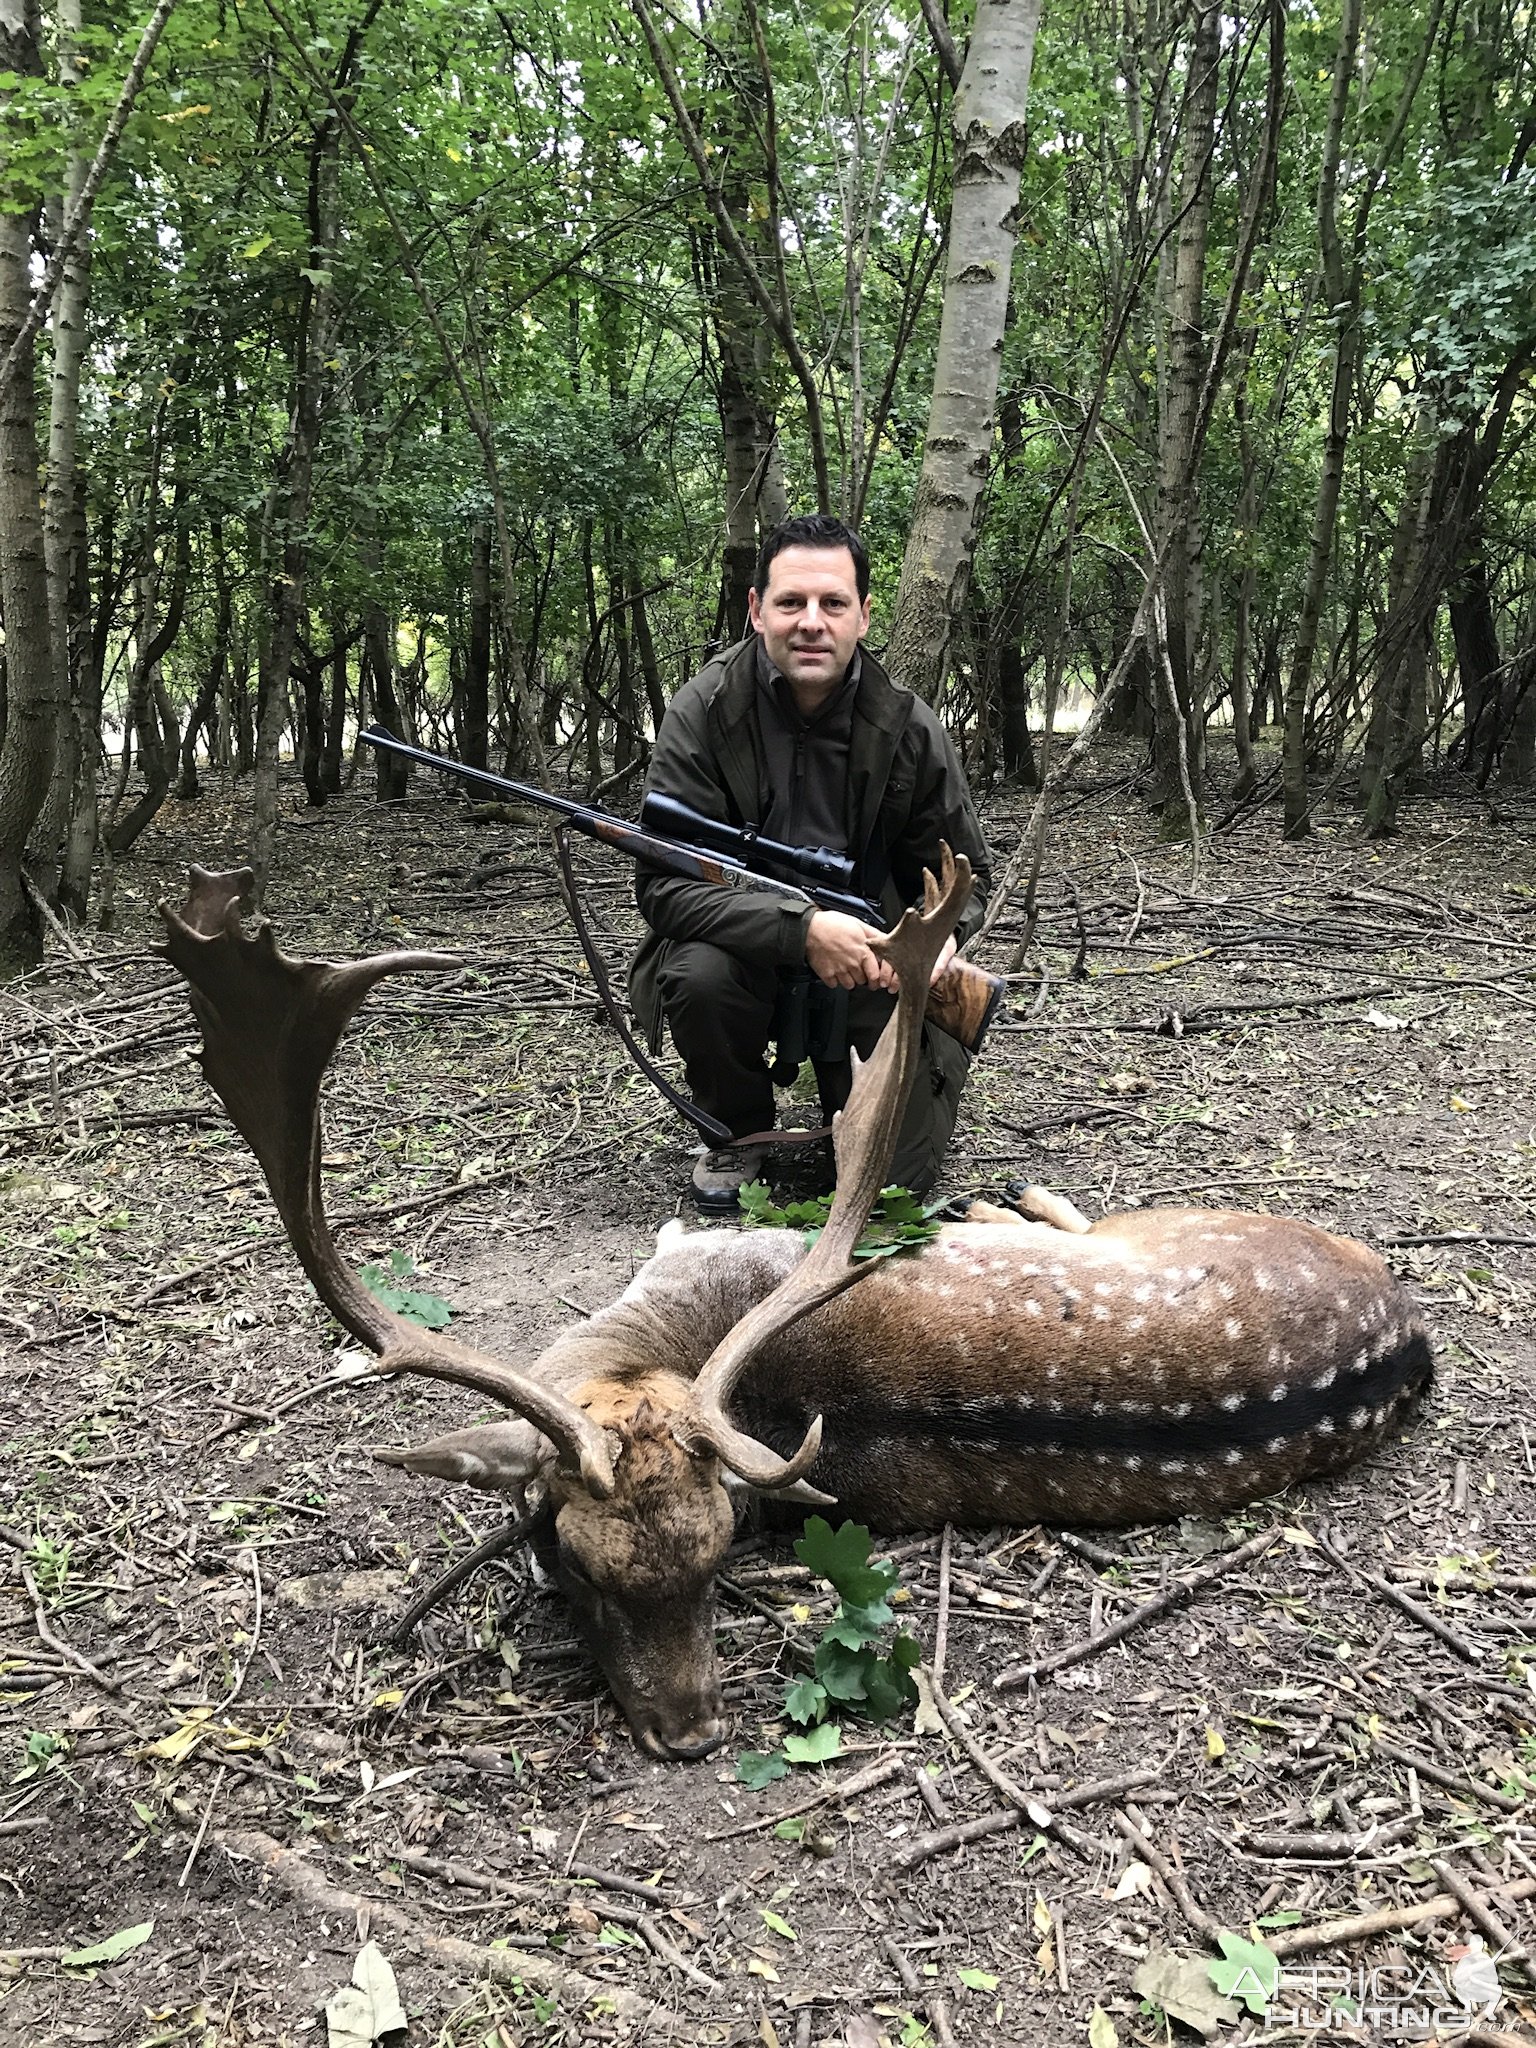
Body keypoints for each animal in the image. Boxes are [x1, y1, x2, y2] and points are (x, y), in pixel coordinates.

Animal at [162, 851, 1441, 1761]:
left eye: (719, 1554)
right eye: (572, 1564)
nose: (690, 1732)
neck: (653, 1341)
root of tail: (1411, 1332)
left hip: (1190, 1219)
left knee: (1069, 1213)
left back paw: (1012, 1195)